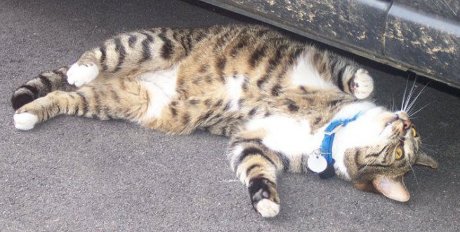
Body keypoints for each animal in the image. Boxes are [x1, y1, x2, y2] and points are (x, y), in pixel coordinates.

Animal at [10, 24, 436, 217]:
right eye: (405, 145)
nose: (405, 122)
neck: (328, 131)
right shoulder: (315, 62)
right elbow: (349, 72)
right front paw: (363, 84)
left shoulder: (255, 141)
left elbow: (255, 169)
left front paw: (266, 202)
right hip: (151, 44)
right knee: (95, 56)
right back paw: (79, 70)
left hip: (121, 99)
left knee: (64, 97)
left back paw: (29, 113)